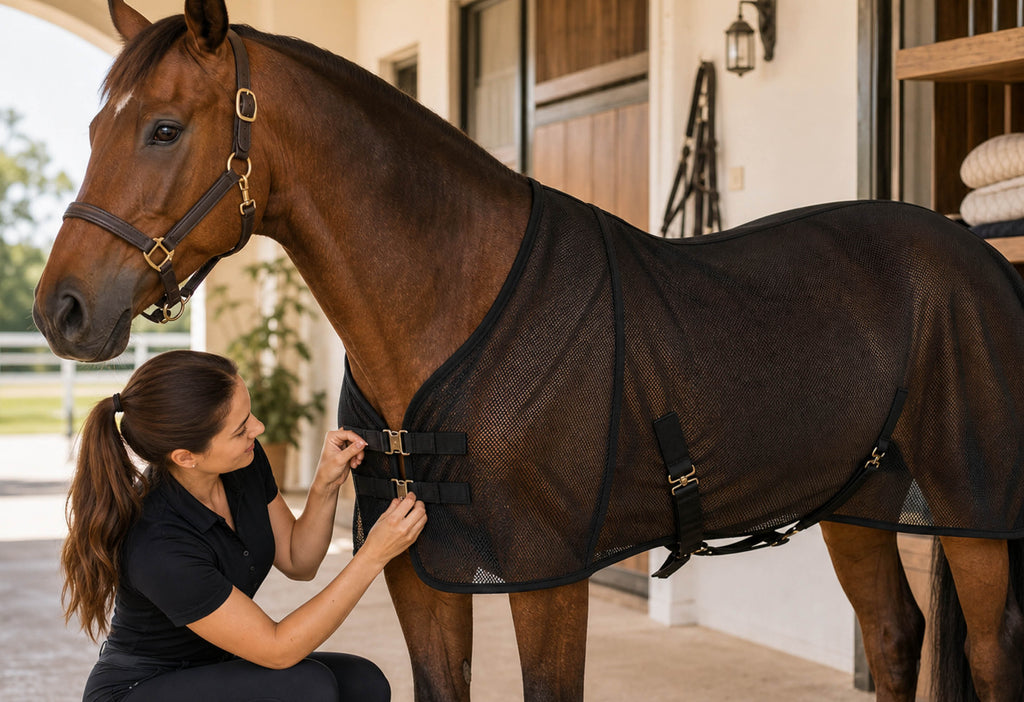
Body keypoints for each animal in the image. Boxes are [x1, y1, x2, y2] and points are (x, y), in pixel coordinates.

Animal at [32, 1, 1024, 700]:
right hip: (856, 506)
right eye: (94, 129)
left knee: (988, 652)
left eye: (164, 127)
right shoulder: (419, 573)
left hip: (971, 513)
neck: (450, 304)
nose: (62, 310)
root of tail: (976, 257)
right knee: (895, 639)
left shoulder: (549, 579)